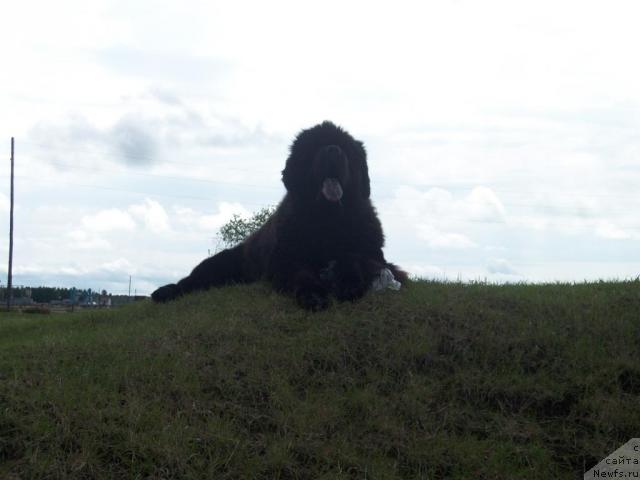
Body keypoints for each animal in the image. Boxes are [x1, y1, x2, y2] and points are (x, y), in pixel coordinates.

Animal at [152, 121, 408, 312]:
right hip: (220, 264)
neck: (328, 221)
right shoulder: (285, 260)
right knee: (192, 280)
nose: (333, 150)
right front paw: (314, 296)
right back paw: (164, 291)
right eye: (314, 148)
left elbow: (356, 259)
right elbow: (300, 274)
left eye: (345, 147)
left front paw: (349, 283)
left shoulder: (374, 255)